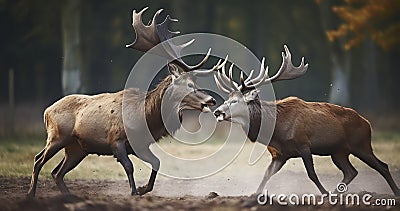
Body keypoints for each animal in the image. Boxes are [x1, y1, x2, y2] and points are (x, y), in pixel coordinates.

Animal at [27, 7, 222, 198]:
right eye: (189, 84)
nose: (211, 100)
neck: (146, 118)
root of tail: (46, 111)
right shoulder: (116, 139)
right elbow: (129, 166)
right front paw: (134, 191)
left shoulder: (141, 144)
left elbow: (157, 162)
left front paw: (143, 189)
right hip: (57, 136)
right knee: (38, 160)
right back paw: (31, 194)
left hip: (77, 148)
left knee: (57, 172)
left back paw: (70, 196)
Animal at [212, 45, 400, 197]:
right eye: (227, 99)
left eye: (235, 101)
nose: (217, 111)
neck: (275, 131)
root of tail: (367, 123)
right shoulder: (279, 154)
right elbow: (266, 174)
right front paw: (254, 195)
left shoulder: (303, 143)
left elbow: (311, 174)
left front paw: (324, 194)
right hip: (339, 151)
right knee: (351, 171)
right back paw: (337, 192)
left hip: (361, 144)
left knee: (382, 166)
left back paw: (395, 192)